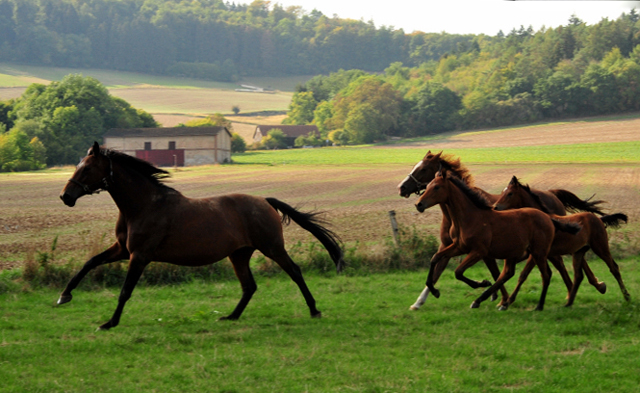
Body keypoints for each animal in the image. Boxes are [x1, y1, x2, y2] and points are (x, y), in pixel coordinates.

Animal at [57, 142, 342, 330]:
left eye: (87, 169)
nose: (65, 196)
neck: (143, 205)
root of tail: (265, 200)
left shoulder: (139, 255)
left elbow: (125, 290)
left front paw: (110, 322)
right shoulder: (122, 250)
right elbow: (89, 263)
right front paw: (64, 296)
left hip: (272, 247)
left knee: (294, 272)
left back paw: (314, 309)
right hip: (239, 254)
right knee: (249, 286)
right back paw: (231, 317)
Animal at [400, 152, 596, 308]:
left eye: (423, 169)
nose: (402, 188)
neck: (464, 216)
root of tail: (552, 194)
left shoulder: (480, 251)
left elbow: (472, 272)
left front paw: (490, 290)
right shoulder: (455, 246)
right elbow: (436, 262)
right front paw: (423, 299)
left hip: (545, 247)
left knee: (561, 265)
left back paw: (581, 290)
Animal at [496, 175, 632, 306]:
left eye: (510, 193)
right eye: (502, 191)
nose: (495, 207)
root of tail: (598, 219)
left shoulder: (538, 253)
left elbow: (523, 274)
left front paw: (507, 302)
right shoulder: (534, 253)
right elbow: (513, 271)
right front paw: (504, 300)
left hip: (600, 247)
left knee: (614, 268)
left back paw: (626, 296)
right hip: (579, 251)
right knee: (579, 274)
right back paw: (572, 300)